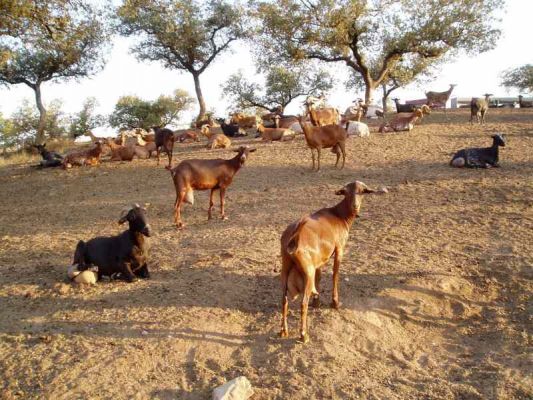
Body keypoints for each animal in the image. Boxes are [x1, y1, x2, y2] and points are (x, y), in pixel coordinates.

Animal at [278, 182, 378, 344]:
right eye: (347, 193)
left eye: (362, 192)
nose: (355, 206)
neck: (339, 215)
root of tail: (294, 236)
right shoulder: (339, 248)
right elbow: (335, 274)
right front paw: (335, 303)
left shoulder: (319, 260)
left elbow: (319, 278)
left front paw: (317, 302)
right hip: (307, 272)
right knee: (302, 303)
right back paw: (304, 335)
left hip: (285, 268)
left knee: (284, 299)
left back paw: (283, 331)